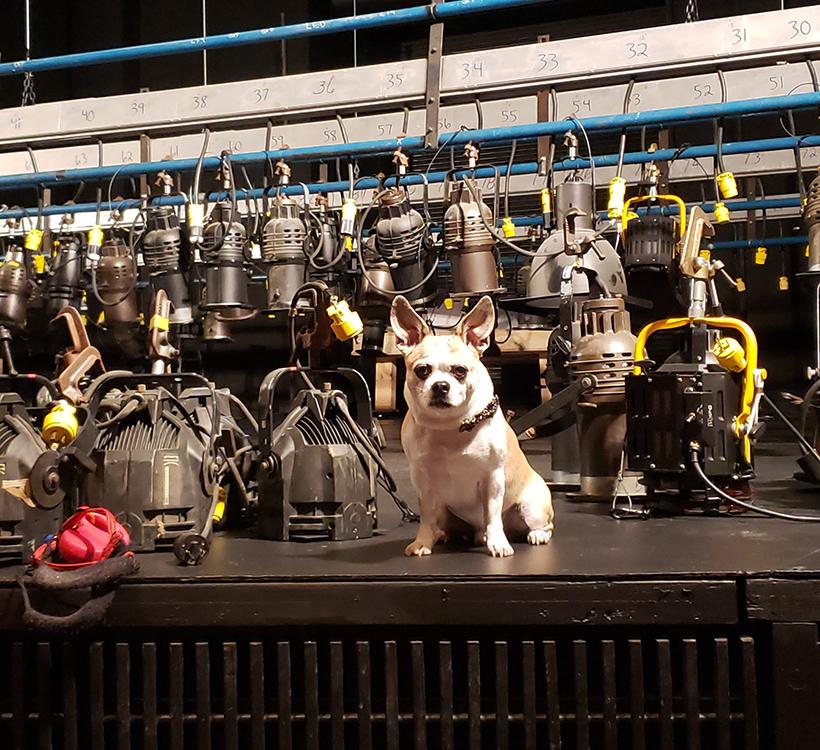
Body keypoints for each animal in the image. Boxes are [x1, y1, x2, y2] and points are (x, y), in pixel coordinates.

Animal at [392, 296, 556, 560]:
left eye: (460, 371)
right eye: (422, 370)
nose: (440, 385)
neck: (450, 426)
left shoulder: (493, 479)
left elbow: (492, 515)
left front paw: (498, 543)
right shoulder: (423, 483)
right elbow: (425, 517)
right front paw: (422, 542)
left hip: (532, 507)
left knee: (540, 525)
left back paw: (535, 534)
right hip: (444, 510)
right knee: (443, 524)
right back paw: (445, 536)